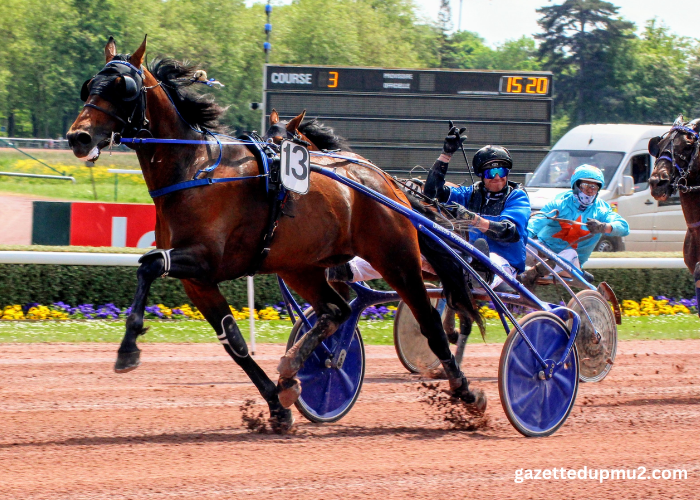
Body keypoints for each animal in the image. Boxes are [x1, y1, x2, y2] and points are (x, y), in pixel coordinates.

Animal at [65, 37, 482, 428]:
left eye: (122, 87)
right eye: (89, 87)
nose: (78, 138)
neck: (195, 170)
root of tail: (388, 183)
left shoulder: (204, 259)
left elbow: (149, 264)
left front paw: (128, 348)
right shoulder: (198, 280)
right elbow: (233, 341)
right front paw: (277, 406)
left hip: (396, 257)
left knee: (428, 321)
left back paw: (465, 392)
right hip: (300, 266)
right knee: (337, 309)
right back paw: (292, 369)